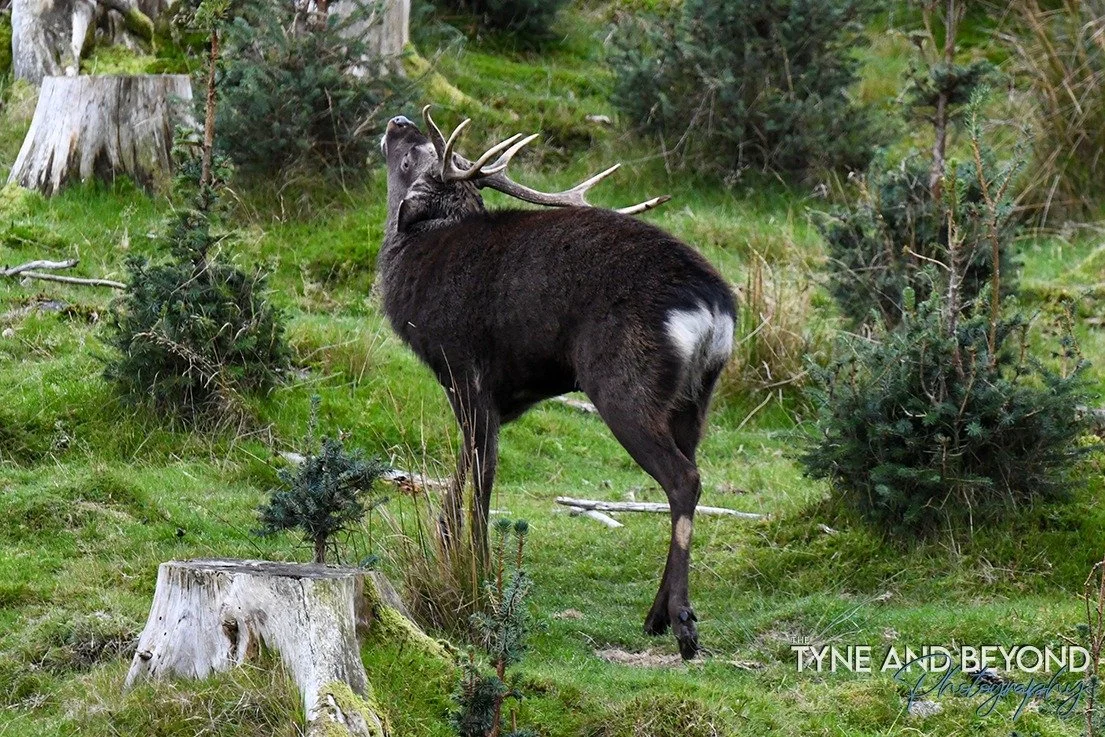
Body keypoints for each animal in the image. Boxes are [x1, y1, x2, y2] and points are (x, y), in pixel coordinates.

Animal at [377, 106, 736, 659]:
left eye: (416, 155)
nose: (397, 119)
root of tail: (715, 308)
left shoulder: (465, 368)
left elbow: (483, 473)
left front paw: (480, 573)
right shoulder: (494, 396)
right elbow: (464, 463)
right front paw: (447, 542)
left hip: (623, 384)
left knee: (684, 478)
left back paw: (682, 624)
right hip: (696, 398)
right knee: (690, 472)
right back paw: (655, 615)